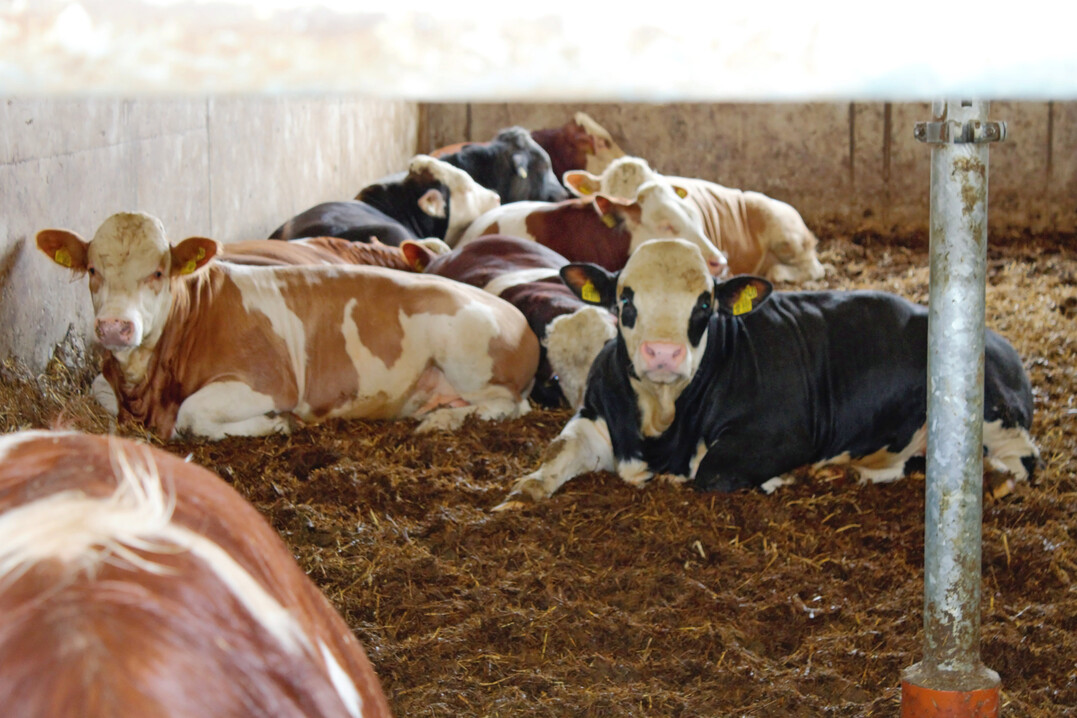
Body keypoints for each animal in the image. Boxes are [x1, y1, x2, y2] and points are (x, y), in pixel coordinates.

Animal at [37, 211, 539, 439]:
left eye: (158, 272)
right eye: (92, 270)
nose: (115, 327)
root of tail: (518, 319)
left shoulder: (268, 381)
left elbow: (192, 415)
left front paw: (276, 424)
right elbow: (96, 393)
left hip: (470, 358)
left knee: (508, 405)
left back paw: (442, 419)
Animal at [497, 238, 1038, 508]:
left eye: (705, 303)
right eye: (625, 298)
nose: (663, 354)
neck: (661, 417)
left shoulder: (782, 435)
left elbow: (707, 471)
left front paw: (780, 478)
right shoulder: (594, 417)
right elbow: (557, 453)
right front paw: (522, 493)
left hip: (992, 412)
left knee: (1024, 460)